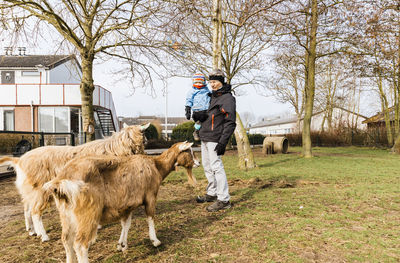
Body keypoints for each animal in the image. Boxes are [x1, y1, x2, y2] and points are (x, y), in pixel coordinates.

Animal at [0, 122, 149, 242]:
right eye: (144, 138)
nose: (147, 143)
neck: (116, 149)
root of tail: (19, 161)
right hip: (40, 189)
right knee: (35, 211)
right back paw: (44, 236)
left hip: (29, 189)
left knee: (27, 209)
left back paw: (32, 231)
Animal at [44, 142, 200, 263]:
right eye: (189, 151)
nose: (198, 163)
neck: (157, 165)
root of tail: (61, 180)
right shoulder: (150, 196)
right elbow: (150, 218)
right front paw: (155, 241)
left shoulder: (127, 205)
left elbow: (126, 224)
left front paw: (122, 244)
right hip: (88, 213)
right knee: (80, 244)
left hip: (66, 214)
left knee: (66, 240)